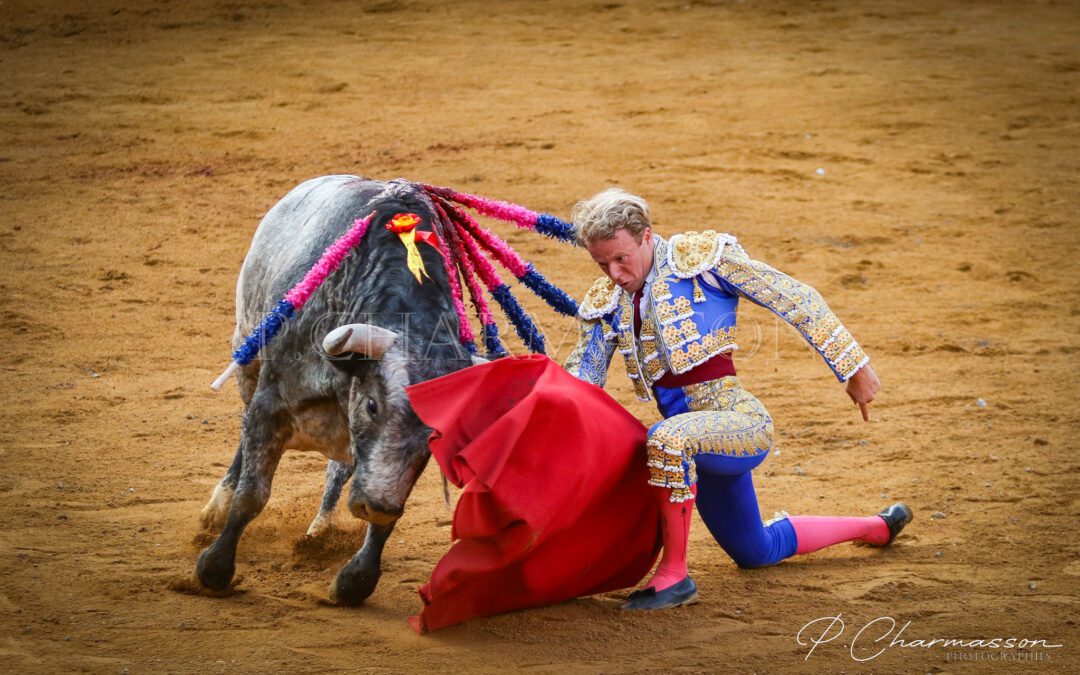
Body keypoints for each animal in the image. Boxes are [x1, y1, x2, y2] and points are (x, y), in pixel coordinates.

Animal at [196, 174, 475, 604]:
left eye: (435, 431)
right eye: (373, 406)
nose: (377, 506)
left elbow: (385, 519)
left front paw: (354, 581)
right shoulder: (268, 405)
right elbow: (253, 493)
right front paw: (214, 569)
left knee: (339, 471)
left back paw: (321, 530)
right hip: (245, 350)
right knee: (243, 442)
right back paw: (217, 507)